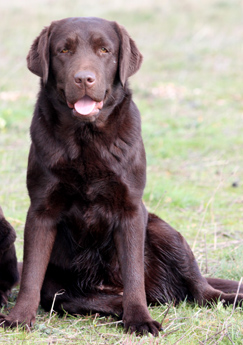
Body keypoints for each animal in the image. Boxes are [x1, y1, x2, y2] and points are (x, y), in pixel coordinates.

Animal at [0, 17, 242, 334]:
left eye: (105, 50)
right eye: (63, 50)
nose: (84, 78)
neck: (86, 139)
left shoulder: (131, 210)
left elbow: (133, 274)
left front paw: (139, 319)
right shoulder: (41, 210)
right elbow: (31, 273)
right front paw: (19, 317)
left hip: (164, 231)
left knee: (201, 290)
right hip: (59, 289)